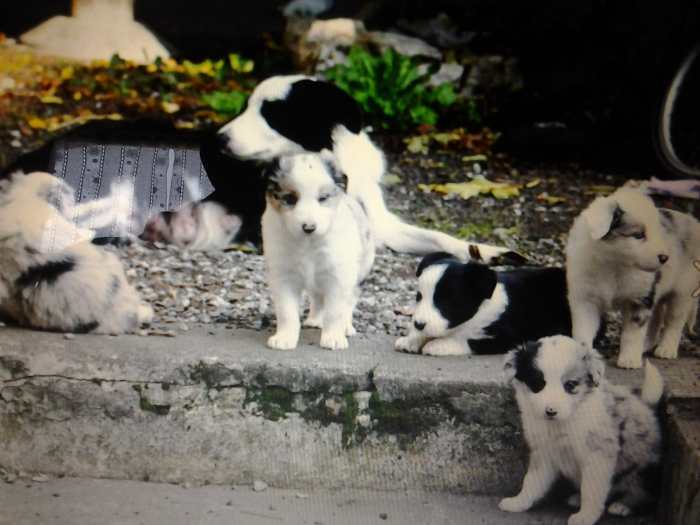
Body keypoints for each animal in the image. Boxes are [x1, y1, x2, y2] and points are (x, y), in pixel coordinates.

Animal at [216, 75, 524, 264]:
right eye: (247, 107)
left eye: (272, 114)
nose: (220, 139)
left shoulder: (385, 226)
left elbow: (439, 236)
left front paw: (484, 250)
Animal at [396, 251, 572, 356]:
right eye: (419, 297)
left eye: (446, 301)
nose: (418, 324)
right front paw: (411, 339)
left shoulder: (505, 337)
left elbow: (468, 340)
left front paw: (437, 345)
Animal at [498, 336, 660, 524]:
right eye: (537, 383)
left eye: (570, 385)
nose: (550, 411)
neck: (563, 422)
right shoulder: (544, 452)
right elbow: (532, 481)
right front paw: (518, 502)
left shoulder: (598, 453)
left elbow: (591, 489)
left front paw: (586, 516)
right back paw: (577, 498)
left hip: (640, 469)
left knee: (643, 492)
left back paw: (623, 505)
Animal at [568, 186, 696, 366]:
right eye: (638, 235)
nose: (665, 258)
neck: (614, 264)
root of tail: (693, 221)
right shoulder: (585, 299)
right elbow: (582, 331)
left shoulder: (640, 298)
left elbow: (633, 333)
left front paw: (629, 360)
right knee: (656, 317)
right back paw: (647, 345)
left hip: (682, 292)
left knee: (674, 321)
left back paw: (666, 349)